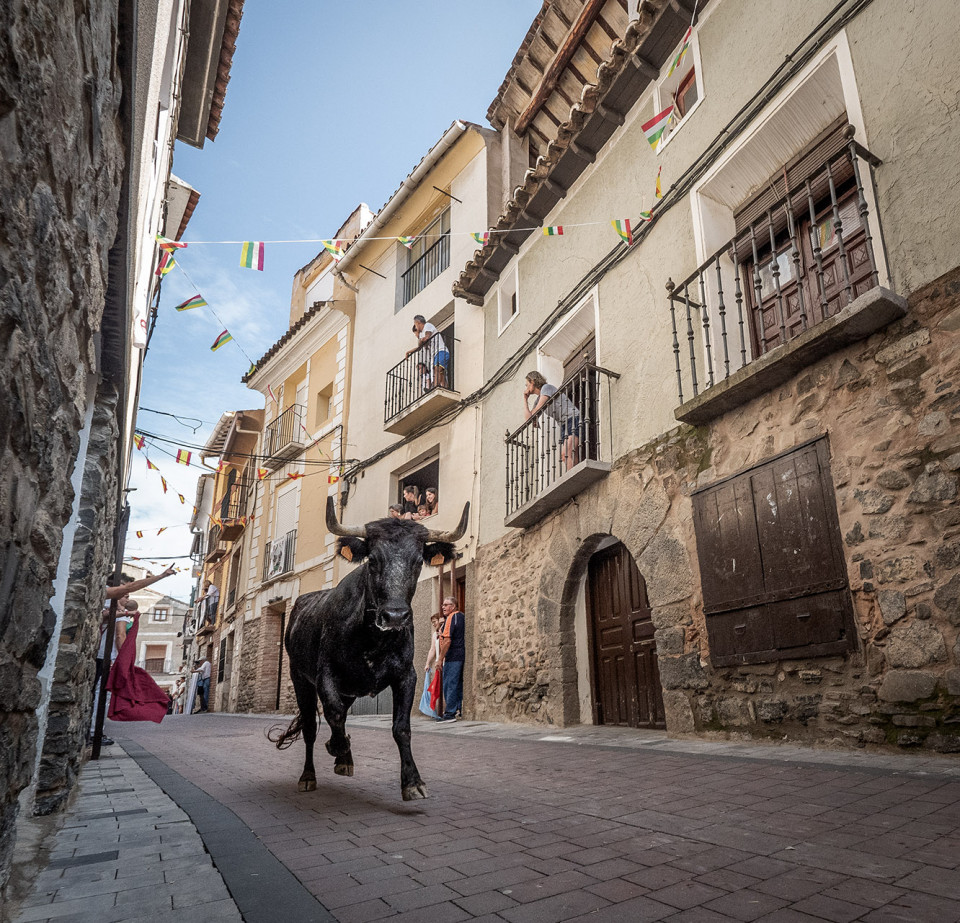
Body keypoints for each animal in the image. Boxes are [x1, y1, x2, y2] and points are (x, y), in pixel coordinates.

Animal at [271, 496, 469, 801]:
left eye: (417, 562)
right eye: (373, 560)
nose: (396, 616)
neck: (374, 640)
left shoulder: (406, 676)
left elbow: (401, 728)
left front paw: (412, 782)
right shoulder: (326, 675)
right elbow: (334, 714)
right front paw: (337, 748)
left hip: (349, 689)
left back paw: (343, 758)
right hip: (299, 678)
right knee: (310, 728)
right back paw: (309, 775)